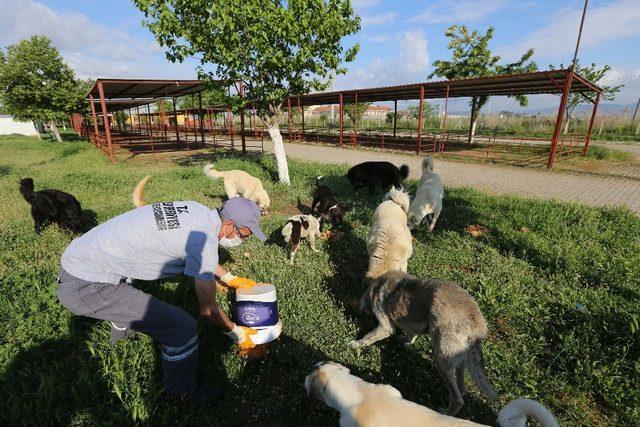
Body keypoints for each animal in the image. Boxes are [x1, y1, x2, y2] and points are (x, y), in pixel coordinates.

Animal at [350, 270, 496, 418]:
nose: (356, 313)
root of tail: (478, 326)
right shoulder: (411, 326)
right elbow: (410, 336)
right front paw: (402, 340)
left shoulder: (386, 327)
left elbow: (368, 337)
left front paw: (355, 344)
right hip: (460, 362)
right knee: (462, 389)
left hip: (442, 361)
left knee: (457, 399)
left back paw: (444, 413)